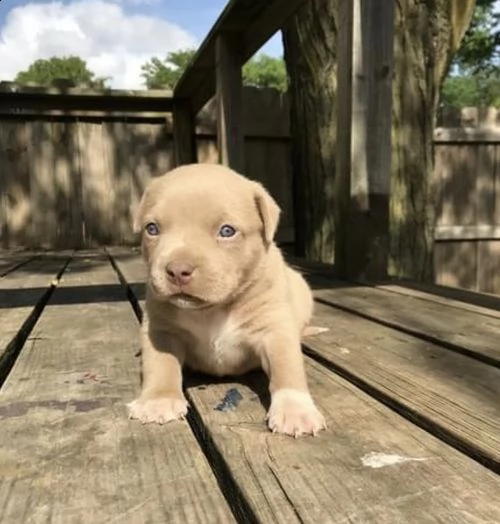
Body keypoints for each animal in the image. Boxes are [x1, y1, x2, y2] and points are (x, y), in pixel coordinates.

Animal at [127, 164, 326, 438]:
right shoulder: (161, 330)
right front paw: (158, 401)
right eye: (152, 229)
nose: (177, 270)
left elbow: (287, 367)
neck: (211, 309)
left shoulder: (274, 329)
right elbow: (160, 364)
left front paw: (295, 411)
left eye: (227, 231)